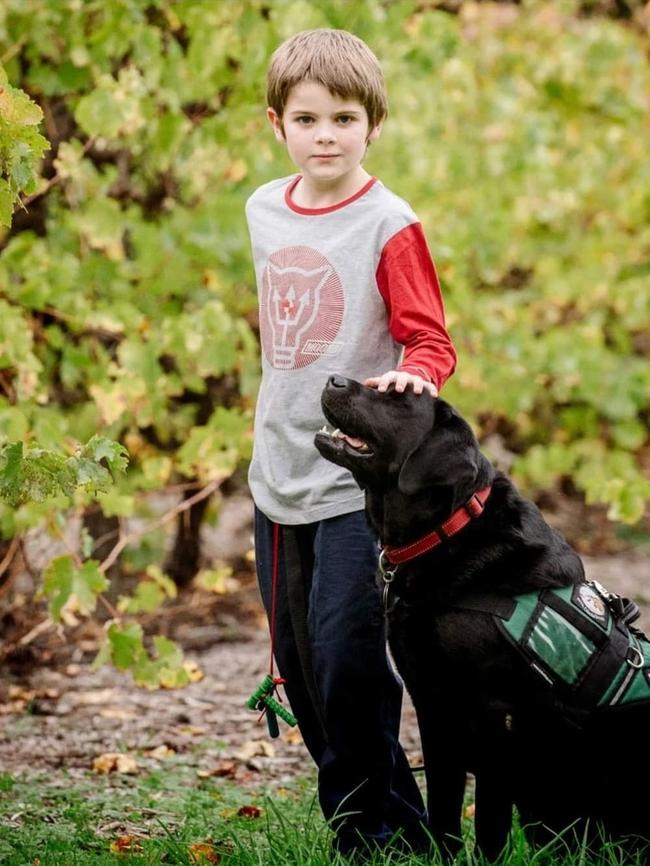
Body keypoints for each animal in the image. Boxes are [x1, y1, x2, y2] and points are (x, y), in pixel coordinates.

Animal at [312, 374, 644, 860]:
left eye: (397, 398)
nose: (333, 377)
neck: (446, 530)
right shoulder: (432, 704)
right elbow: (444, 807)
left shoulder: (493, 716)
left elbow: (488, 822)